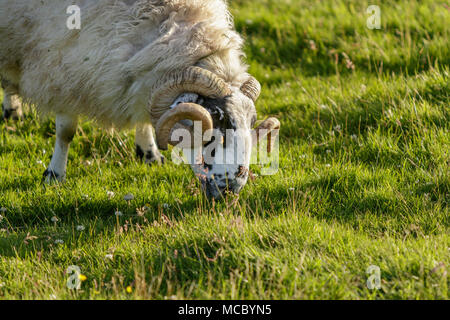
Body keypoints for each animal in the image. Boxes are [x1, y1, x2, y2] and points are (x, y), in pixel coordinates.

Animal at [0, 0, 280, 200]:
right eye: (213, 126)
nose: (232, 188)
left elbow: (144, 115)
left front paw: (149, 154)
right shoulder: (62, 68)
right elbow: (65, 132)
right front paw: (54, 174)